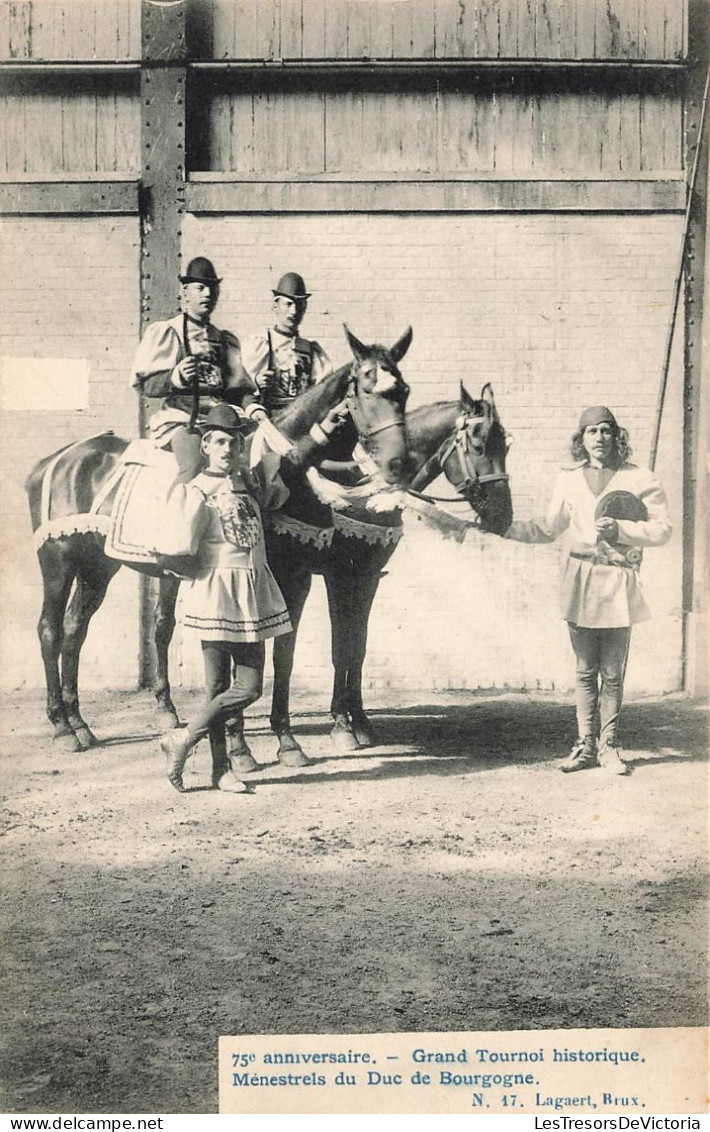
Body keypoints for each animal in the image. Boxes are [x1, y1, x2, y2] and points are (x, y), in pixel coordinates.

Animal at [27, 328, 414, 751]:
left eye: (404, 391)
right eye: (366, 389)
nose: (399, 464)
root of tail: (54, 461)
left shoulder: (329, 577)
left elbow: (328, 649)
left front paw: (321, 729)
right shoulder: (308, 576)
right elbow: (297, 650)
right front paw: (281, 735)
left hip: (97, 567)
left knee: (74, 630)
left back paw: (81, 722)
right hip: (57, 562)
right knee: (49, 630)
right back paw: (62, 726)